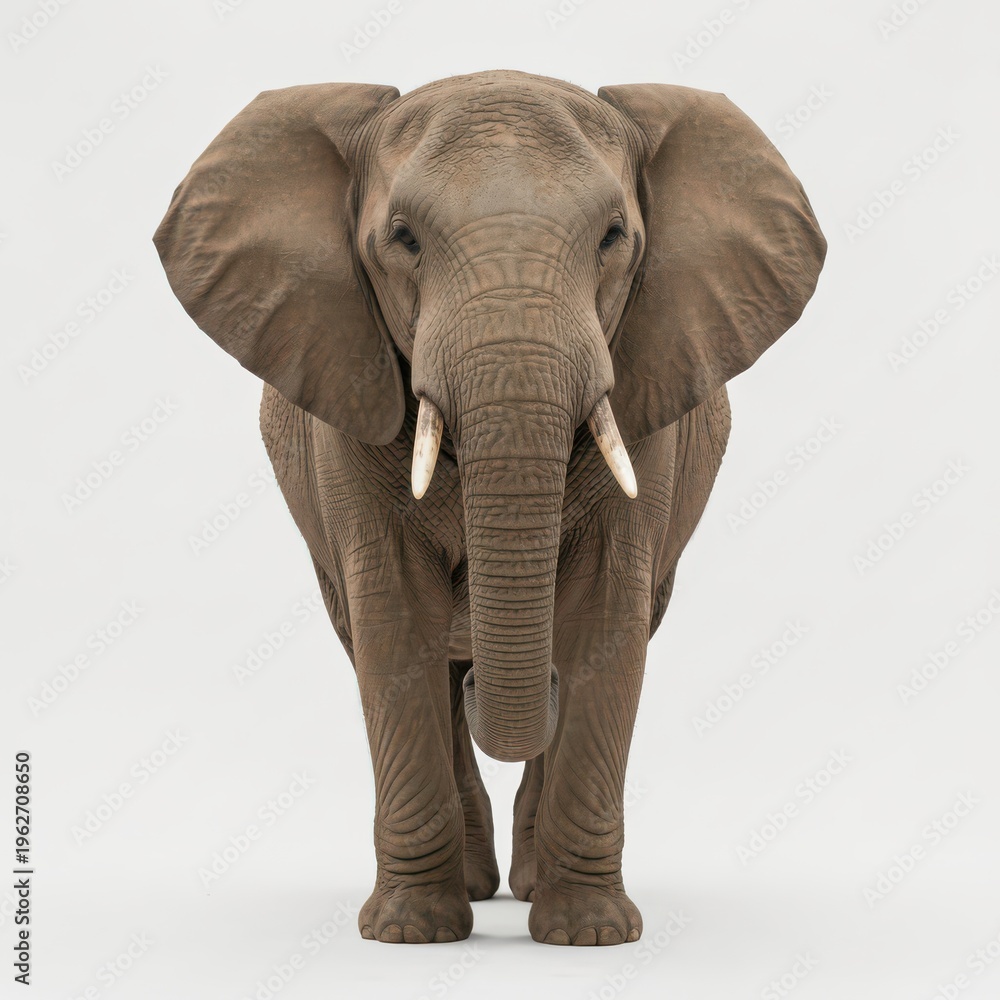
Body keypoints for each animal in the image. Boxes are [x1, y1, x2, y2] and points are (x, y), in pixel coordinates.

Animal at [154, 69, 825, 946]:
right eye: (402, 238)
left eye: (614, 237)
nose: (484, 670)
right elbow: (395, 623)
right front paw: (409, 933)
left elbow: (604, 621)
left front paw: (588, 936)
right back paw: (473, 882)